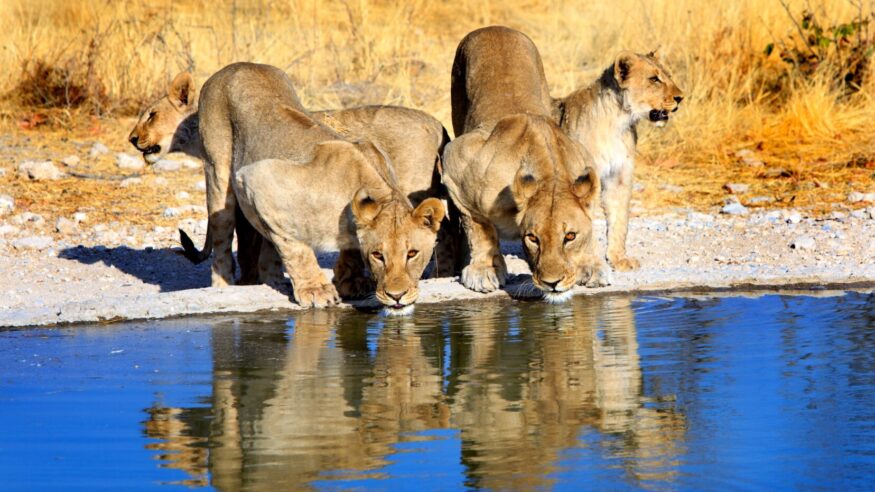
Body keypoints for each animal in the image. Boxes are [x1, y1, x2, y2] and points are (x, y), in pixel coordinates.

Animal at [128, 75, 460, 283]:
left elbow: (248, 245)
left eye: (151, 115)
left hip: (416, 190)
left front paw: (249, 280)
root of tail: (436, 123)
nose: (132, 138)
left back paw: (440, 275)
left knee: (443, 230)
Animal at [179, 62, 445, 311]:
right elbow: (295, 247)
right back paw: (224, 285)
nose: (396, 296)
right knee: (222, 237)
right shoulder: (258, 179)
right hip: (218, 171)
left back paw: (275, 280)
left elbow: (348, 249)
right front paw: (316, 290)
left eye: (412, 254)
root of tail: (236, 66)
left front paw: (350, 281)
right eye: (378, 255)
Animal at [442, 26, 603, 303]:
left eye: (569, 236)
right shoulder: (455, 163)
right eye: (533, 238)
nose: (552, 283)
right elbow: (479, 226)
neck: (549, 176)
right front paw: (484, 270)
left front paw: (590, 265)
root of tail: (494, 27)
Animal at [552, 51, 683, 271]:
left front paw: (618, 259)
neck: (618, 122)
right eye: (654, 79)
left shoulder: (618, 177)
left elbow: (619, 220)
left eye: (669, 75)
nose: (680, 98)